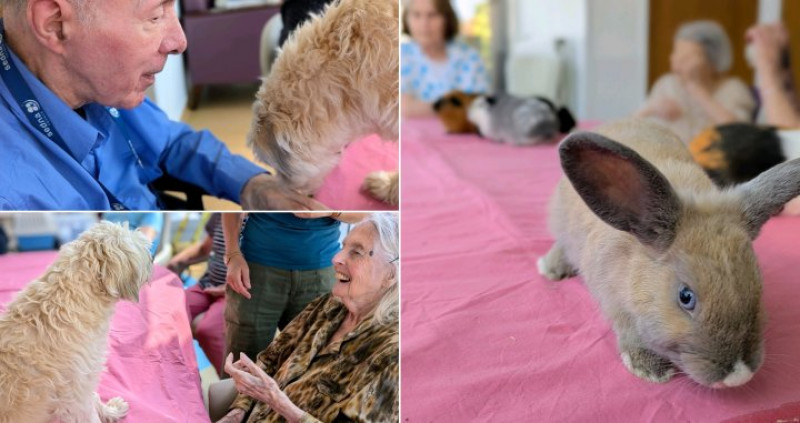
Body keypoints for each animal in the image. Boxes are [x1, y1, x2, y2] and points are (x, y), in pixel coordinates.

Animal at [536, 118, 800, 388]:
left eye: (757, 284)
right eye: (686, 296)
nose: (738, 376)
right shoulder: (613, 303)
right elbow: (629, 332)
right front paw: (650, 368)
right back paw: (552, 267)